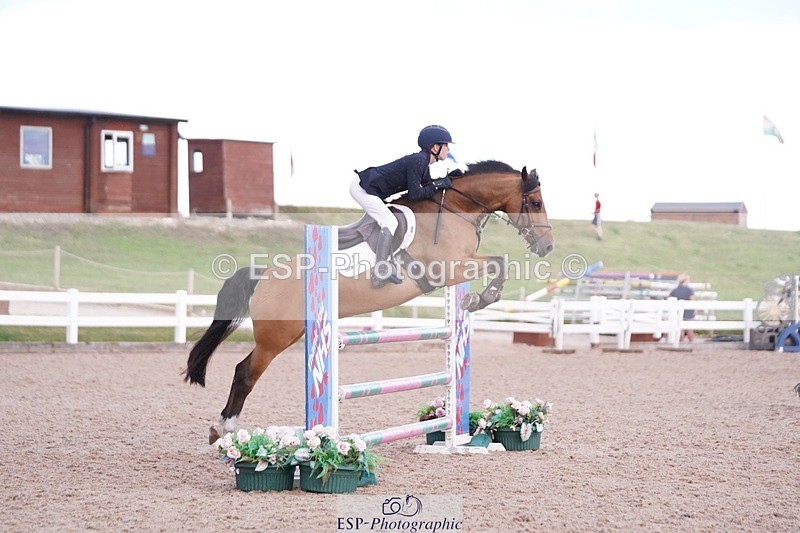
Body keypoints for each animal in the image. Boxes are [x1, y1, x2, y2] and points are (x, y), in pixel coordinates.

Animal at [185, 160, 555, 443]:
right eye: (536, 203)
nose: (547, 247)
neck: (455, 210)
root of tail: (265, 275)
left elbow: (498, 262)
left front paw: (475, 299)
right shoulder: (448, 269)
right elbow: (500, 262)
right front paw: (481, 298)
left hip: (291, 333)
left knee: (245, 370)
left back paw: (223, 428)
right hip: (276, 337)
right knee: (245, 373)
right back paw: (223, 428)